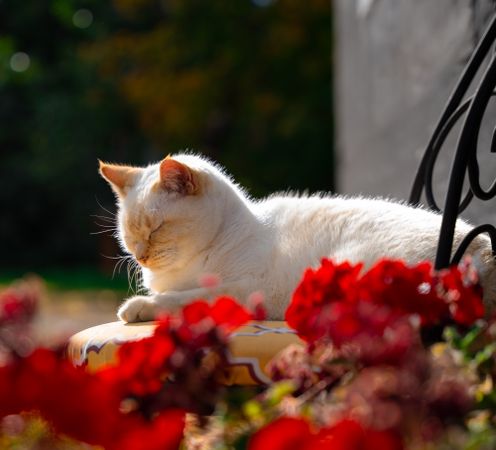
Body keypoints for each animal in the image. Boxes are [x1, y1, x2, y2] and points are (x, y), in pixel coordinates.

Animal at [98, 155, 496, 324]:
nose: (141, 256)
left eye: (156, 229)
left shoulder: (244, 289)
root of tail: (484, 248)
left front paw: (137, 306)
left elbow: (181, 300)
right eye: (129, 235)